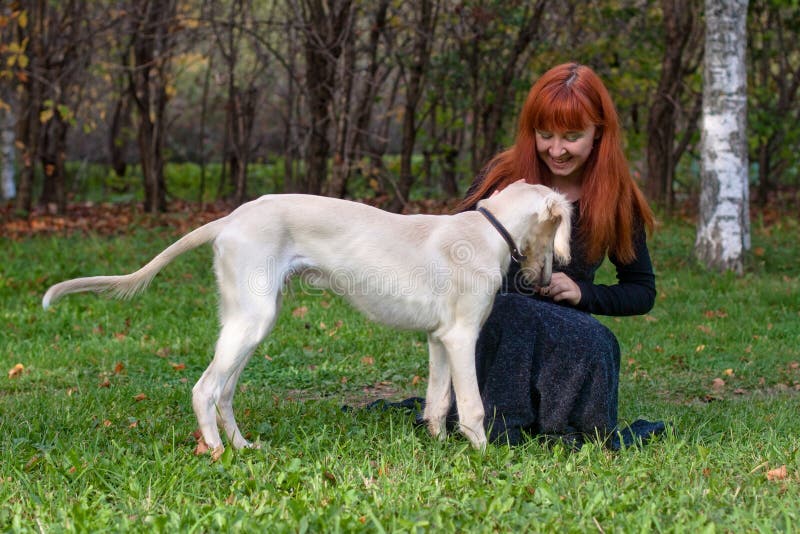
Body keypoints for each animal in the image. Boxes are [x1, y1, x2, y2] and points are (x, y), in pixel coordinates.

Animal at [43, 182, 572, 458]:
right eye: (556, 230)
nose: (550, 279)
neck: (487, 231)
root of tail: (231, 218)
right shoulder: (462, 337)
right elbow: (474, 407)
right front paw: (485, 458)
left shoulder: (439, 339)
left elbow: (439, 402)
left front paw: (439, 446)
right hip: (253, 321)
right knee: (203, 389)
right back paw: (216, 451)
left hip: (249, 320)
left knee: (224, 391)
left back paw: (243, 446)